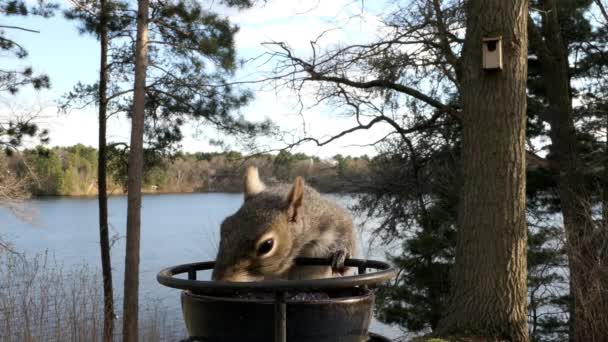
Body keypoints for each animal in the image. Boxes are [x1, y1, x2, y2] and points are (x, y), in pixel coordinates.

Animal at [213, 167, 358, 282]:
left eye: (267, 246)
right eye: (223, 226)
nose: (220, 279)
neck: (302, 250)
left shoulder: (333, 220)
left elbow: (346, 234)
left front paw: (341, 254)